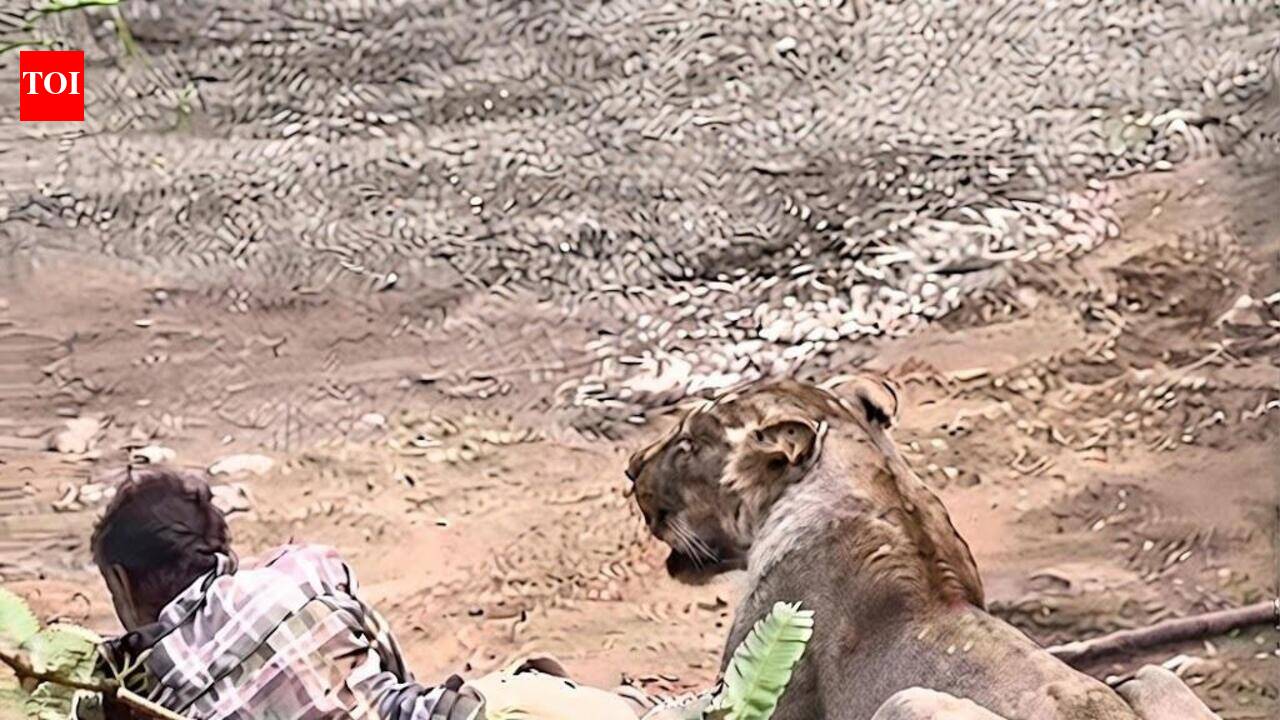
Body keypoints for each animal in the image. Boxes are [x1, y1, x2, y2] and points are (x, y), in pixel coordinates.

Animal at [626, 375, 1220, 720]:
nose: (630, 467)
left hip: (905, 701)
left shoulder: (766, 682)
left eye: (687, 444)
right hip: (1149, 676)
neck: (872, 481)